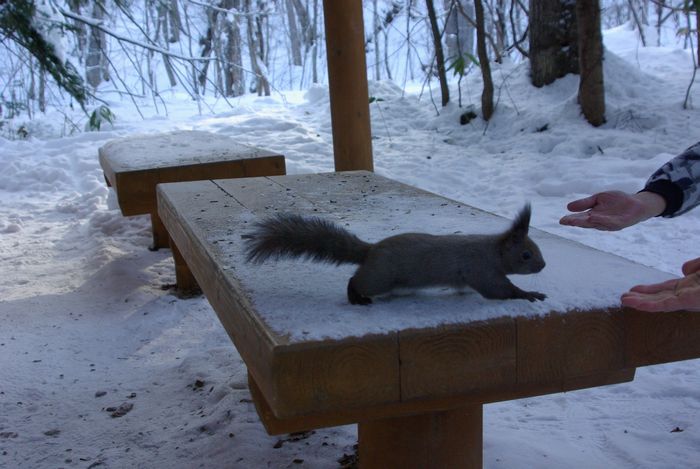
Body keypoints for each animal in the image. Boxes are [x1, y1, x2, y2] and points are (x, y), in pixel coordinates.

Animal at [244, 204, 546, 305]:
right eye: (526, 255)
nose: (543, 265)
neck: (493, 251)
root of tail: (371, 250)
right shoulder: (482, 270)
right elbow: (500, 290)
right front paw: (528, 294)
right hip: (379, 278)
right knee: (356, 281)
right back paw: (357, 298)